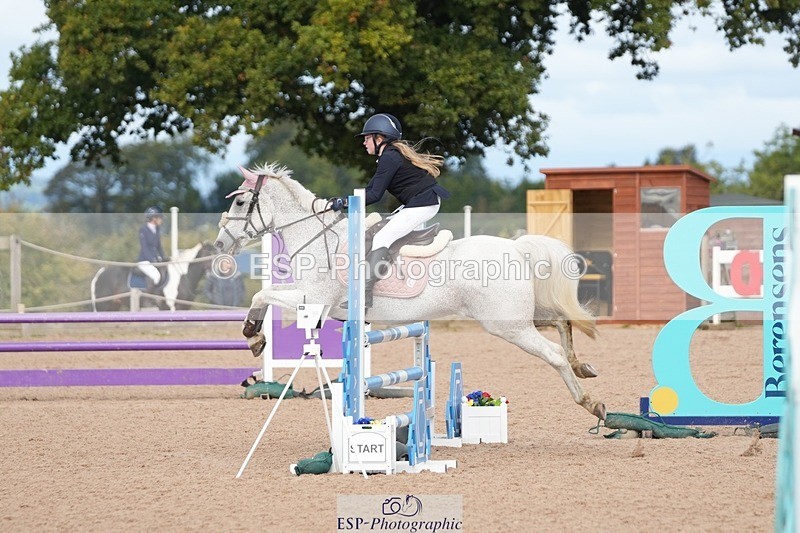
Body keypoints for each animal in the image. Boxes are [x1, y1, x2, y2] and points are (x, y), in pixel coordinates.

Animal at [214, 163, 606, 420]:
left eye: (239, 202)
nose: (220, 244)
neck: (317, 236)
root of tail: (515, 246)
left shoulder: (316, 302)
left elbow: (262, 295)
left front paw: (252, 336)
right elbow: (263, 295)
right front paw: (255, 336)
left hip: (507, 325)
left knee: (554, 353)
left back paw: (590, 402)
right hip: (513, 319)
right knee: (562, 322)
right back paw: (583, 366)